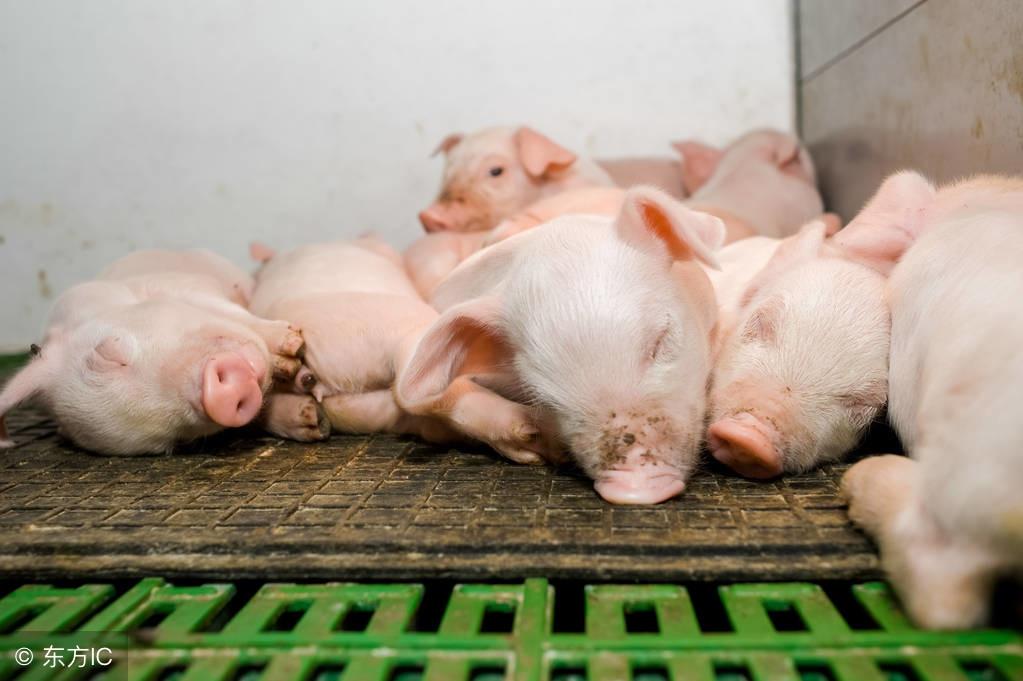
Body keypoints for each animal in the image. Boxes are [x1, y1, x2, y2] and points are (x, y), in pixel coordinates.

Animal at [0, 249, 305, 455]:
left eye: (108, 353)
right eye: (177, 442)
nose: (219, 398)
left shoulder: (177, 285)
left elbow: (226, 307)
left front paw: (291, 345)